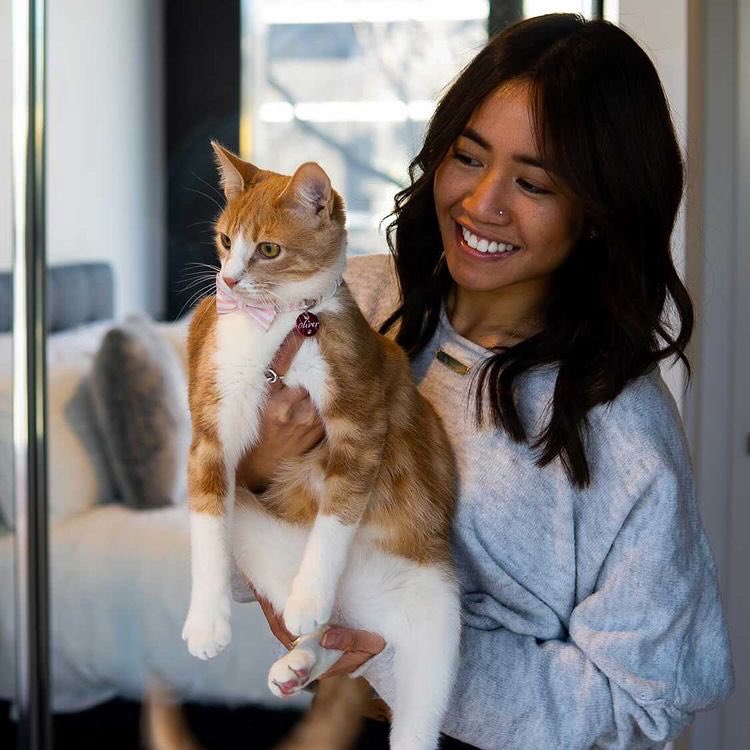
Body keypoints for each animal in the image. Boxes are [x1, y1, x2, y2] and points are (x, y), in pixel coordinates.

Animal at [181, 142, 462, 750]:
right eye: (225, 241)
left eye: (267, 249)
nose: (228, 281)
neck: (275, 325)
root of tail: (364, 605)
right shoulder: (212, 431)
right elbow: (206, 523)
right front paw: (207, 621)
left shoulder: (361, 421)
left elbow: (337, 515)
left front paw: (310, 593)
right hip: (260, 537)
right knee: (331, 632)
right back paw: (299, 660)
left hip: (437, 619)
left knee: (415, 707)